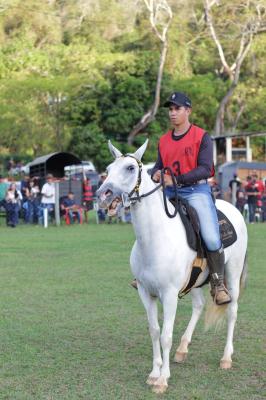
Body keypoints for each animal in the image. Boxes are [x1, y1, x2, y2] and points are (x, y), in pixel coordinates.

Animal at [97, 140, 247, 394]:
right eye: (108, 168)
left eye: (130, 168)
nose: (103, 195)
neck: (155, 239)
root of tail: (233, 208)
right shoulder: (145, 293)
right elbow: (154, 331)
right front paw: (154, 373)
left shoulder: (168, 295)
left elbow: (166, 335)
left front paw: (162, 379)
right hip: (195, 282)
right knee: (199, 305)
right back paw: (182, 349)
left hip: (233, 274)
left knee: (232, 311)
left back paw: (226, 358)